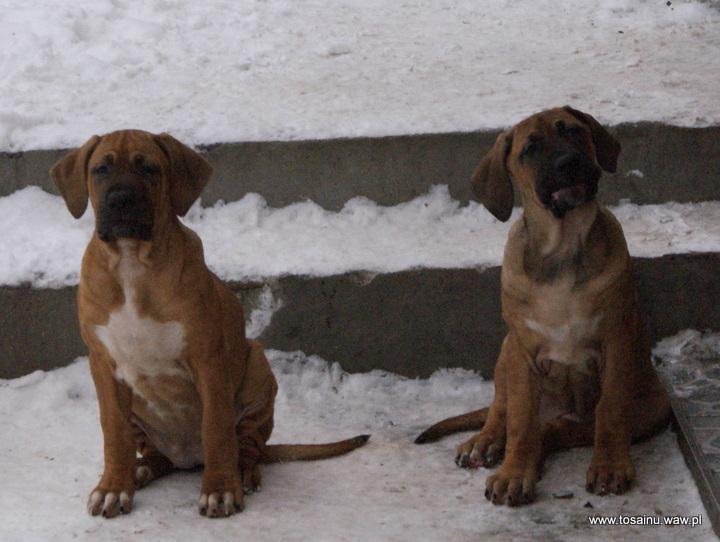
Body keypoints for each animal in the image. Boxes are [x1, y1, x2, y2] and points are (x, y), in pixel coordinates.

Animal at [49, 130, 372, 520]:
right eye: (101, 169)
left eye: (149, 168)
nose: (121, 198)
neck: (132, 264)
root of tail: (187, 459)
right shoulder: (103, 363)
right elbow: (114, 430)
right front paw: (113, 487)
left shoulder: (208, 360)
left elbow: (216, 428)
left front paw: (220, 491)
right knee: (154, 453)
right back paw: (141, 469)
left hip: (257, 369)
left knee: (247, 445)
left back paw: (242, 472)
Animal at [414, 107, 672, 510]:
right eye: (530, 150)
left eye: (574, 132)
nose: (568, 163)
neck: (562, 247)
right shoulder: (522, 350)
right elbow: (520, 420)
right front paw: (513, 473)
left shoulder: (617, 340)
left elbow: (611, 410)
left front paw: (610, 467)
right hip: (505, 350)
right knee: (502, 411)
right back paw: (485, 442)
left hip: (654, 407)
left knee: (563, 429)